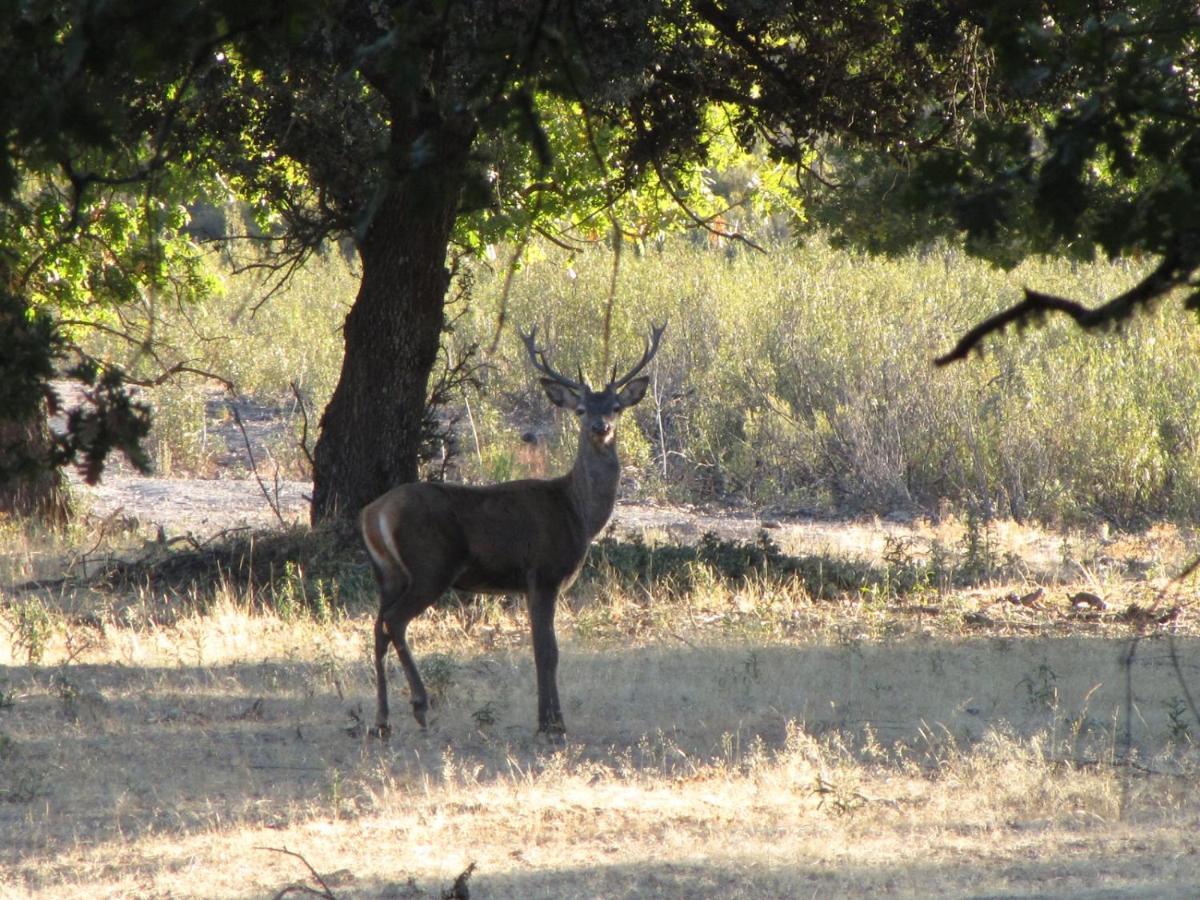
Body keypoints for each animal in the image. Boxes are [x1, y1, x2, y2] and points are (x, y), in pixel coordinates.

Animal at [364, 321, 667, 734]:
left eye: (616, 407)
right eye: (581, 409)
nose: (600, 427)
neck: (577, 512)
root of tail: (373, 512)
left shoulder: (528, 584)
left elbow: (539, 647)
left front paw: (547, 720)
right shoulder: (545, 571)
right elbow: (548, 650)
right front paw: (552, 725)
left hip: (388, 573)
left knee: (378, 627)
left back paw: (382, 719)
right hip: (430, 564)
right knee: (395, 621)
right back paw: (420, 705)